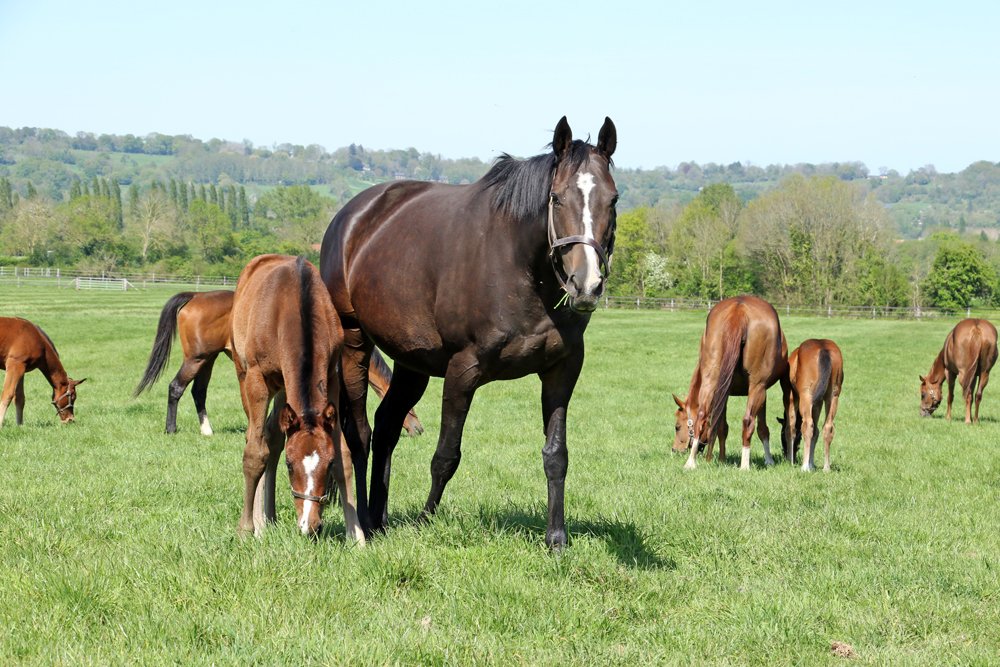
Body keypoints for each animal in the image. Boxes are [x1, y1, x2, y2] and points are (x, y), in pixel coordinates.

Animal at [134, 289, 424, 437]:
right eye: (408, 406)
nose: (419, 429)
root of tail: (195, 295)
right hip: (196, 359)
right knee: (176, 388)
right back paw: (171, 429)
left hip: (208, 359)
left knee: (198, 392)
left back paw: (207, 431)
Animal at [230, 254, 363, 542]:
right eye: (290, 466)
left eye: (328, 464)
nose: (309, 525)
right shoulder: (257, 378)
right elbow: (255, 452)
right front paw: (246, 530)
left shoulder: (331, 376)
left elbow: (344, 454)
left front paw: (357, 536)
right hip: (243, 373)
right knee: (255, 437)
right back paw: (258, 523)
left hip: (284, 387)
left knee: (273, 437)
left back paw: (268, 518)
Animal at [320, 116, 617, 549]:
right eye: (557, 198)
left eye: (613, 199)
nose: (587, 284)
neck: (520, 267)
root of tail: (351, 216)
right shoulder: (463, 370)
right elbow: (446, 455)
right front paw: (425, 520)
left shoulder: (562, 370)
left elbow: (556, 455)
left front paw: (556, 538)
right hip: (354, 342)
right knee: (360, 432)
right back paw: (361, 525)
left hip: (412, 362)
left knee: (388, 425)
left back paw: (378, 518)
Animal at [671, 295, 789, 470]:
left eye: (677, 426)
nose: (674, 449)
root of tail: (738, 310)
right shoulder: (762, 391)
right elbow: (762, 428)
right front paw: (769, 460)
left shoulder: (723, 393)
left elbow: (721, 427)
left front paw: (721, 459)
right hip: (757, 387)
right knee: (748, 421)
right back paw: (744, 466)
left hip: (712, 381)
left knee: (702, 417)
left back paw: (691, 463)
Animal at [779, 339, 844, 472]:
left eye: (781, 435)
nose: (784, 452)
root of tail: (824, 349)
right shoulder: (818, 403)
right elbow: (816, 431)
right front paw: (812, 464)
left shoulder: (790, 397)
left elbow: (790, 428)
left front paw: (790, 461)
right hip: (833, 396)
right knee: (827, 427)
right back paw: (826, 468)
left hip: (806, 396)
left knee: (807, 425)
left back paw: (804, 467)